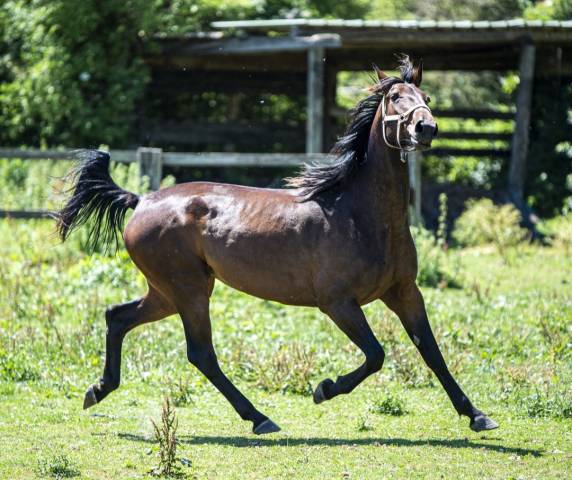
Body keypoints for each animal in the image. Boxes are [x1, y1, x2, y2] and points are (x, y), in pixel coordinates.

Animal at [55, 56, 498, 436]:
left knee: (118, 317)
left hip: (167, 292)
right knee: (201, 353)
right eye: (395, 98)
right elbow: (376, 355)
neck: (361, 215)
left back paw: (98, 390)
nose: (426, 128)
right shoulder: (338, 303)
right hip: (188, 290)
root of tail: (141, 200)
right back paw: (259, 418)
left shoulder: (404, 292)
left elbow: (431, 352)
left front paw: (477, 415)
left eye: (427, 98)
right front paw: (324, 388)